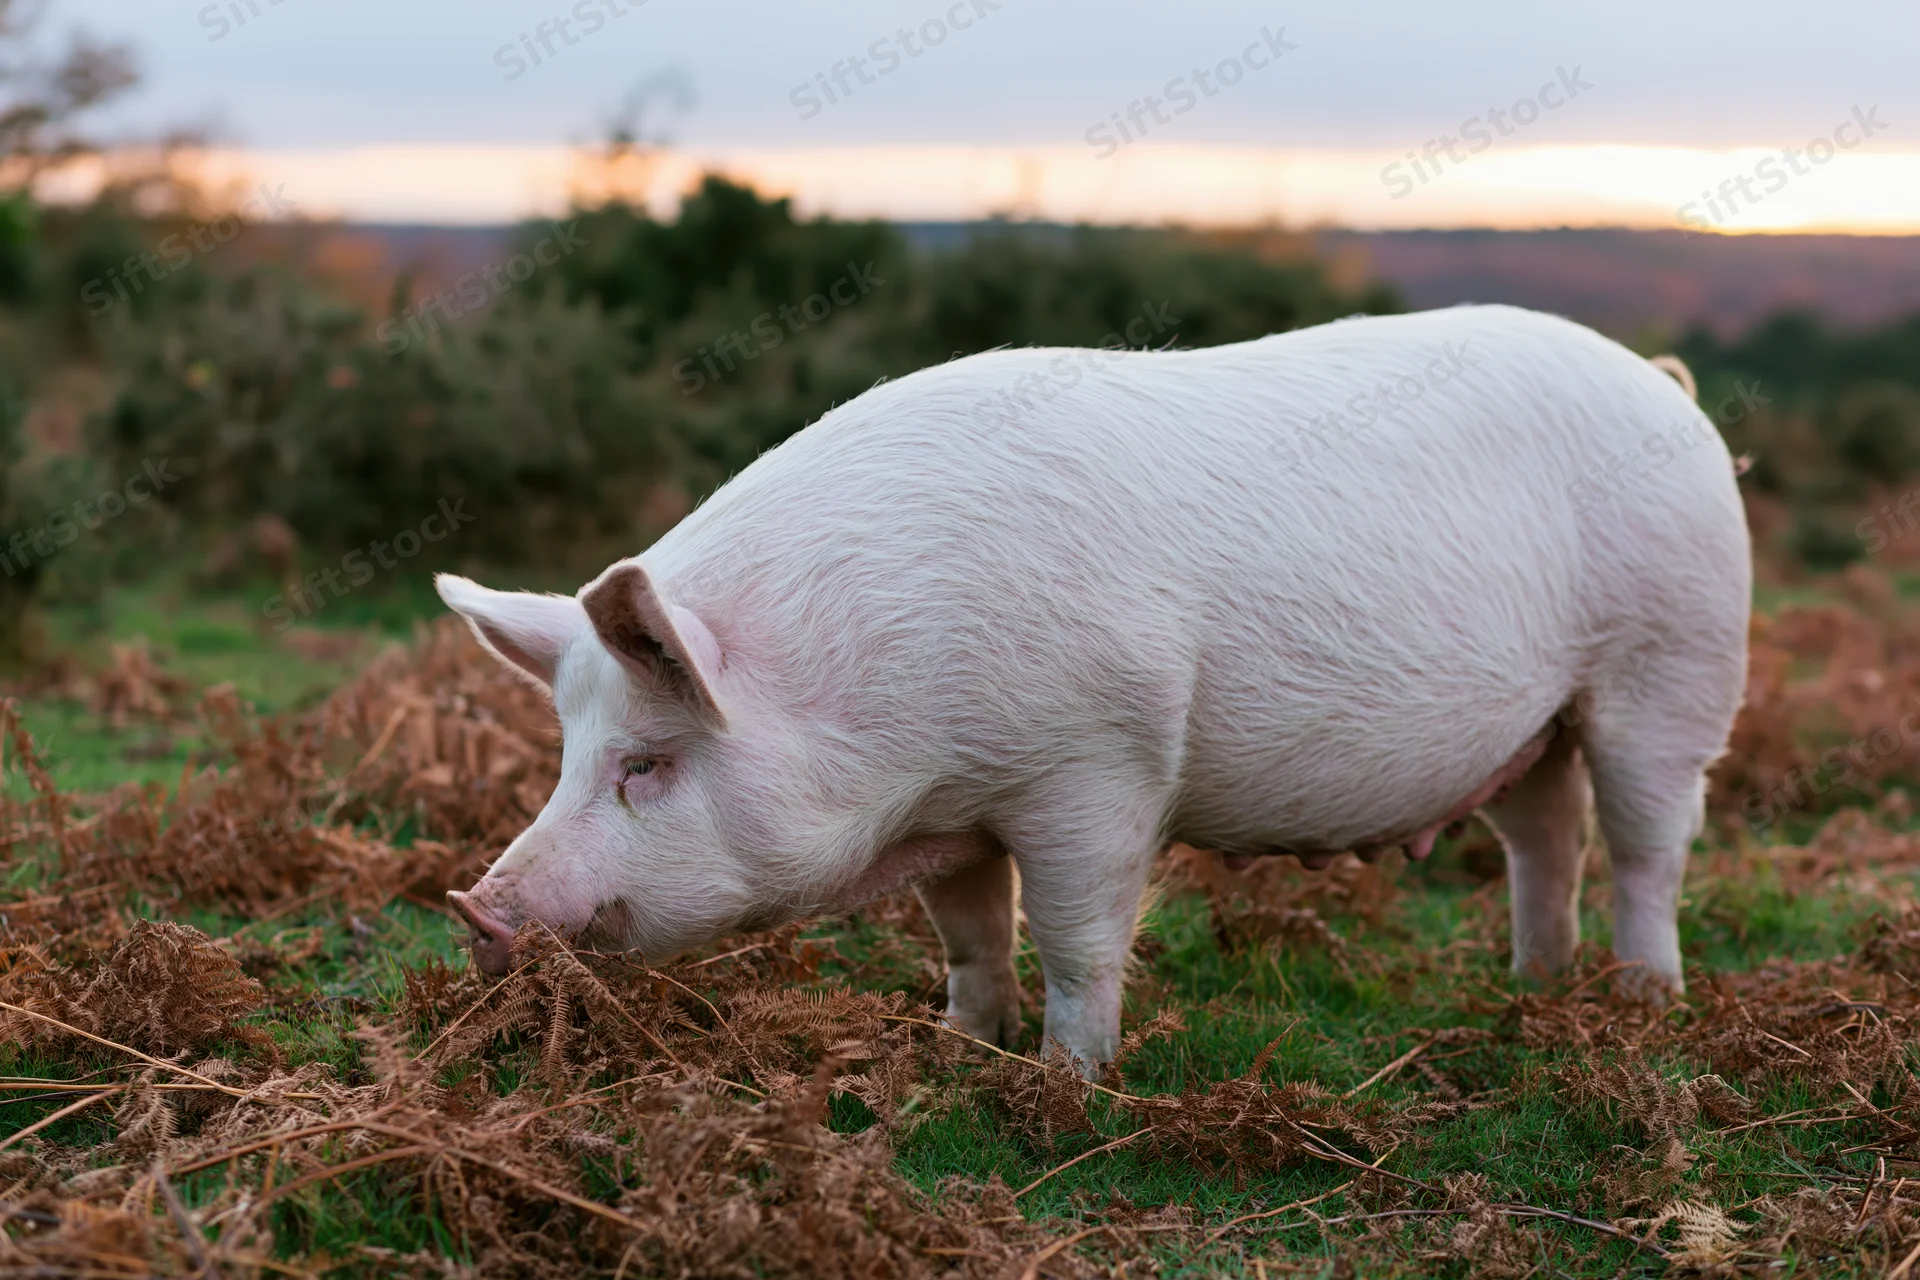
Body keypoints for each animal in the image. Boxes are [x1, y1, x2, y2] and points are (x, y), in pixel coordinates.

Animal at [439, 303, 1750, 1071]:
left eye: (648, 762)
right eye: (569, 752)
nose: (478, 908)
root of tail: (1669, 386)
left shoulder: (1099, 762)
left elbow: (1075, 936)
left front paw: (1070, 1085)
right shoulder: (956, 809)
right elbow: (970, 932)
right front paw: (960, 1049)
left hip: (1671, 662)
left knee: (1648, 841)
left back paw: (1645, 1003)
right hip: (1538, 722)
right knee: (1547, 831)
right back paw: (1534, 984)